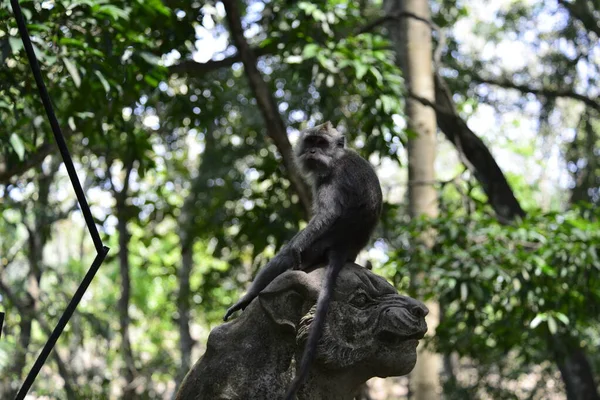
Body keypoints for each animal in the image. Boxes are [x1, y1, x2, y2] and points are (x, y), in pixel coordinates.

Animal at [223, 121, 382, 400]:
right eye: (311, 142)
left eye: (321, 143)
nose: (312, 152)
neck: (336, 157)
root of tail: (343, 248)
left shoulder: (331, 177)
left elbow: (328, 213)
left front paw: (295, 244)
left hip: (319, 244)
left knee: (287, 254)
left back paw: (249, 296)